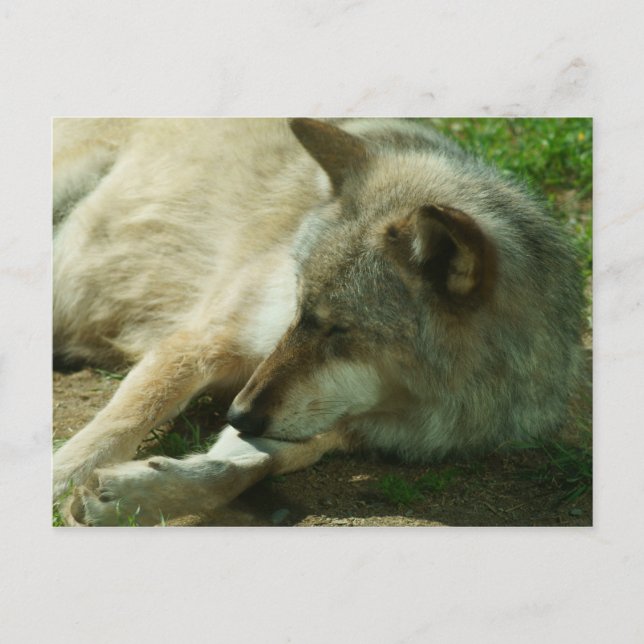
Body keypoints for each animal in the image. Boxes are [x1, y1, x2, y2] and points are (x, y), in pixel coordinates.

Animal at [52, 118, 584, 525]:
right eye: (299, 308)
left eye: (338, 330)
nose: (237, 414)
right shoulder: (203, 340)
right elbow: (121, 421)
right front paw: (62, 479)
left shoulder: (330, 426)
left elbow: (242, 469)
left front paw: (133, 495)